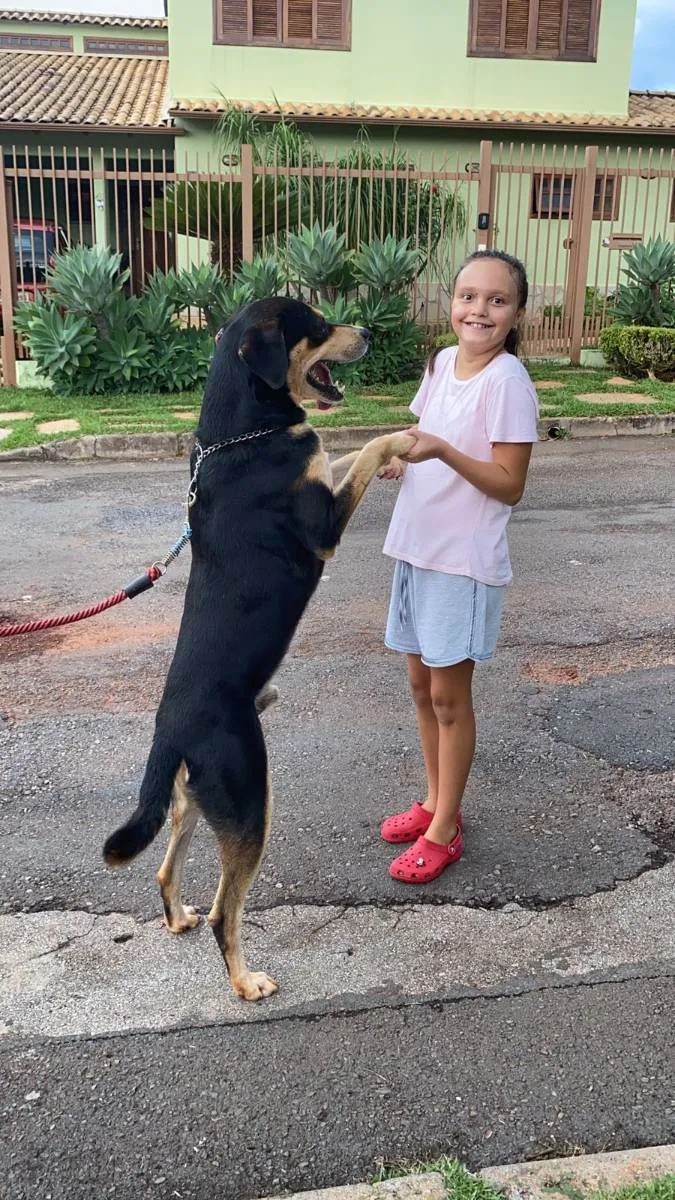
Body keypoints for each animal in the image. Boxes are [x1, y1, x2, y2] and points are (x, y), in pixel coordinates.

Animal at [102, 300, 413, 1003]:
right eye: (316, 325)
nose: (370, 331)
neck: (240, 433)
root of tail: (169, 731)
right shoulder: (323, 524)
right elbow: (363, 449)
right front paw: (407, 440)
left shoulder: (323, 487)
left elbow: (344, 455)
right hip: (249, 798)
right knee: (227, 912)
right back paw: (245, 982)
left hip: (197, 800)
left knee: (165, 870)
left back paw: (178, 918)